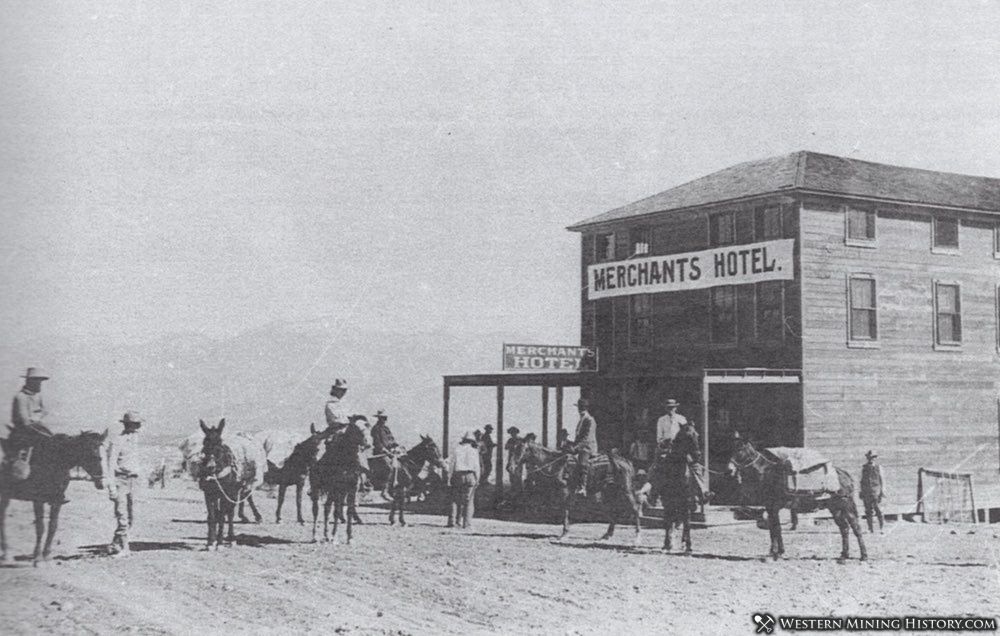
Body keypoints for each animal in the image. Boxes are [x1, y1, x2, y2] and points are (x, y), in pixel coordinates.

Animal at [0, 430, 107, 564]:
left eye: (100, 449)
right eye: (88, 450)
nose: (100, 481)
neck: (53, 462)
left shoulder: (57, 501)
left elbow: (53, 526)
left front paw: (46, 554)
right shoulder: (38, 501)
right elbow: (40, 527)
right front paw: (37, 555)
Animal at [195, 420, 264, 548]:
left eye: (220, 442)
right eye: (204, 443)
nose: (210, 467)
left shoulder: (225, 494)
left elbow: (223, 516)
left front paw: (219, 542)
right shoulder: (209, 494)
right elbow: (212, 516)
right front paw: (210, 542)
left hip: (234, 491)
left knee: (231, 512)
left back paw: (231, 538)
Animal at [508, 442, 640, 540]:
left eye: (520, 450)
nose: (509, 468)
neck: (556, 464)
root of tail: (626, 461)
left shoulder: (565, 491)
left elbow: (565, 510)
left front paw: (564, 533)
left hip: (626, 490)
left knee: (635, 508)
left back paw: (637, 536)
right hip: (610, 491)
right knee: (614, 510)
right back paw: (607, 535)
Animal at [728, 438, 868, 560]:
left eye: (740, 449)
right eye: (732, 448)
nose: (729, 469)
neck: (767, 473)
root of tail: (844, 475)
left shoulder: (773, 507)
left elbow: (776, 528)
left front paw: (776, 553)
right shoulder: (770, 508)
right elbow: (773, 529)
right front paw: (776, 551)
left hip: (846, 506)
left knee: (856, 527)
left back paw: (864, 556)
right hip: (835, 509)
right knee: (844, 528)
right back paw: (844, 555)